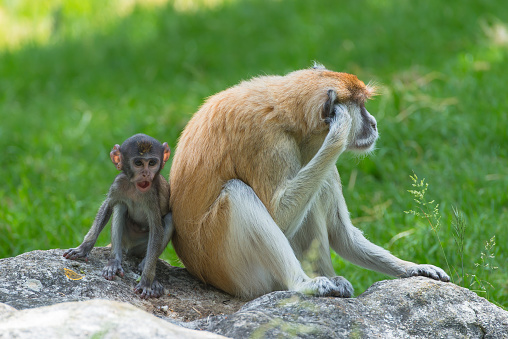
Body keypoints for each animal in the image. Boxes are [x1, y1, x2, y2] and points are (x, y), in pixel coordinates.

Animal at [63, 134, 175, 298]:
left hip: (141, 247)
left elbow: (157, 229)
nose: (146, 174)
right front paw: (83, 248)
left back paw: (145, 267)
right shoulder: (118, 183)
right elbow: (108, 205)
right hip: (126, 239)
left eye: (152, 163)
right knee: (120, 205)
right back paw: (114, 262)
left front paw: (147, 281)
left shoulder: (152, 195)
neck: (135, 187)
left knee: (169, 219)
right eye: (138, 163)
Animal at [171, 65, 448, 298]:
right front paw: (339, 131)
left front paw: (414, 268)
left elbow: (341, 234)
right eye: (359, 105)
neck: (286, 111)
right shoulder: (266, 142)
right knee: (238, 194)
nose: (373, 123)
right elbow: (278, 217)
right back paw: (304, 284)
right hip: (230, 266)